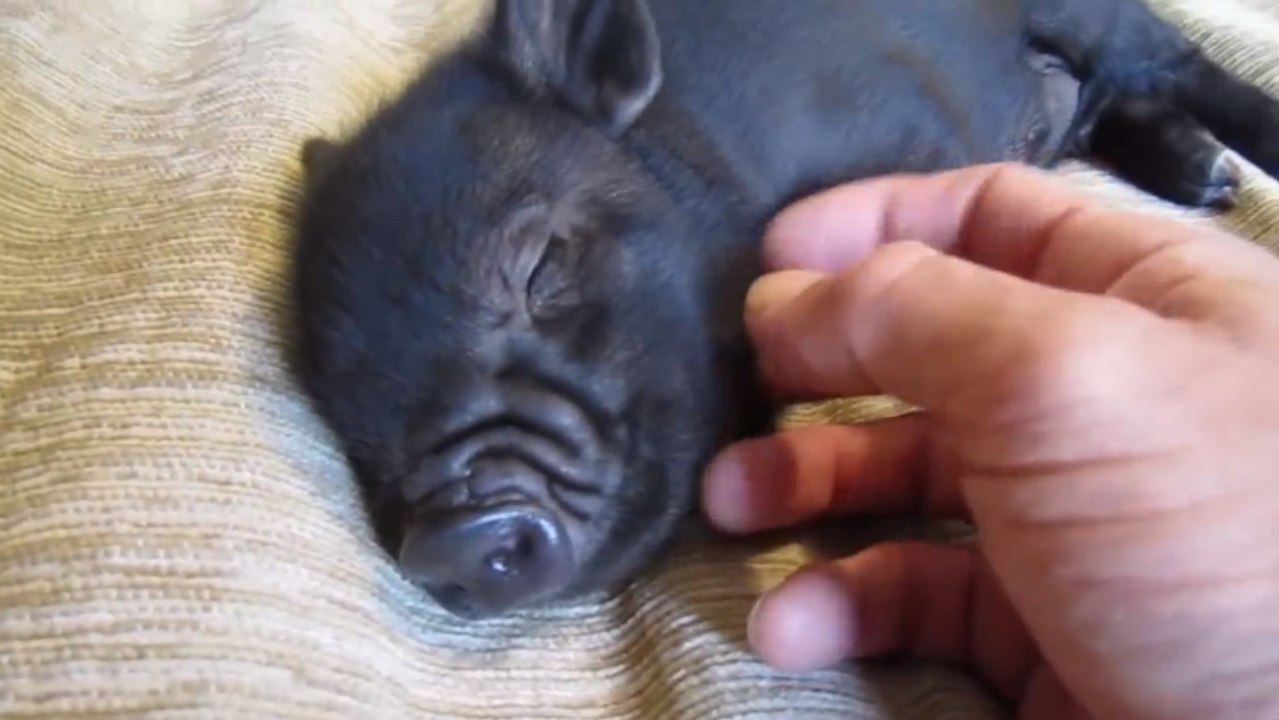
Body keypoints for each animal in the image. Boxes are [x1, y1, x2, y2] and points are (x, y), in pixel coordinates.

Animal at [288, 0, 1279, 620]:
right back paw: (1200, 175)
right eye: (347, 415)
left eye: (536, 267)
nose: (446, 543)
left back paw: (1224, 173)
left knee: (1167, 61)